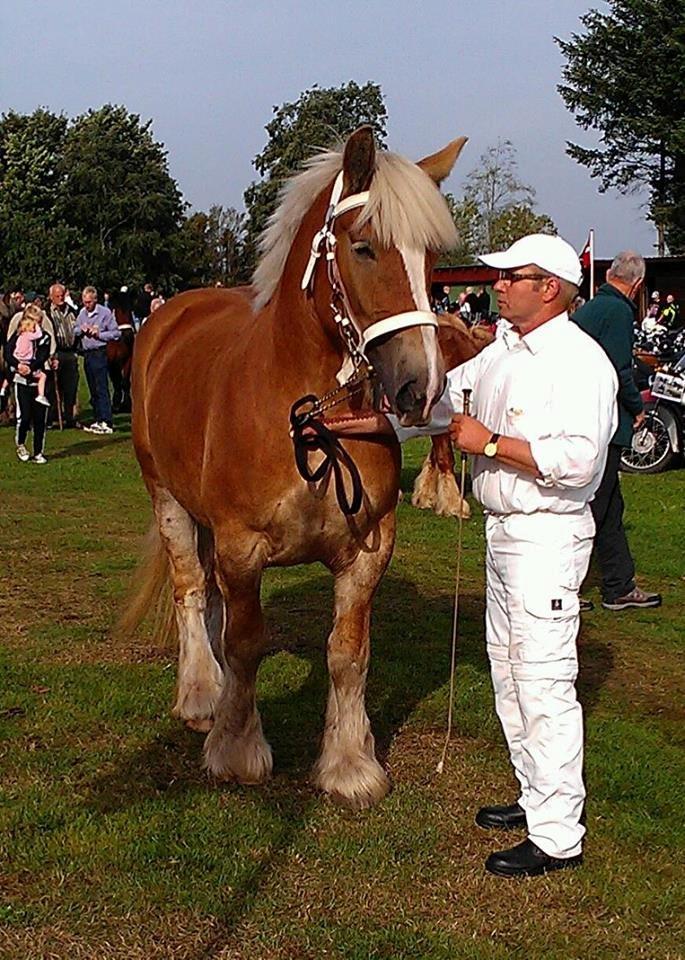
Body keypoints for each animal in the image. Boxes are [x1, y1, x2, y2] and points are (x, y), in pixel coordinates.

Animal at [120, 127, 472, 808]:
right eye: (363, 247)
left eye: (434, 259)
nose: (421, 387)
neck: (307, 419)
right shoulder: (240, 546)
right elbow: (246, 644)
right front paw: (236, 747)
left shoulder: (369, 549)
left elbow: (347, 652)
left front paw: (349, 763)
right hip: (166, 497)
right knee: (190, 589)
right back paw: (201, 694)